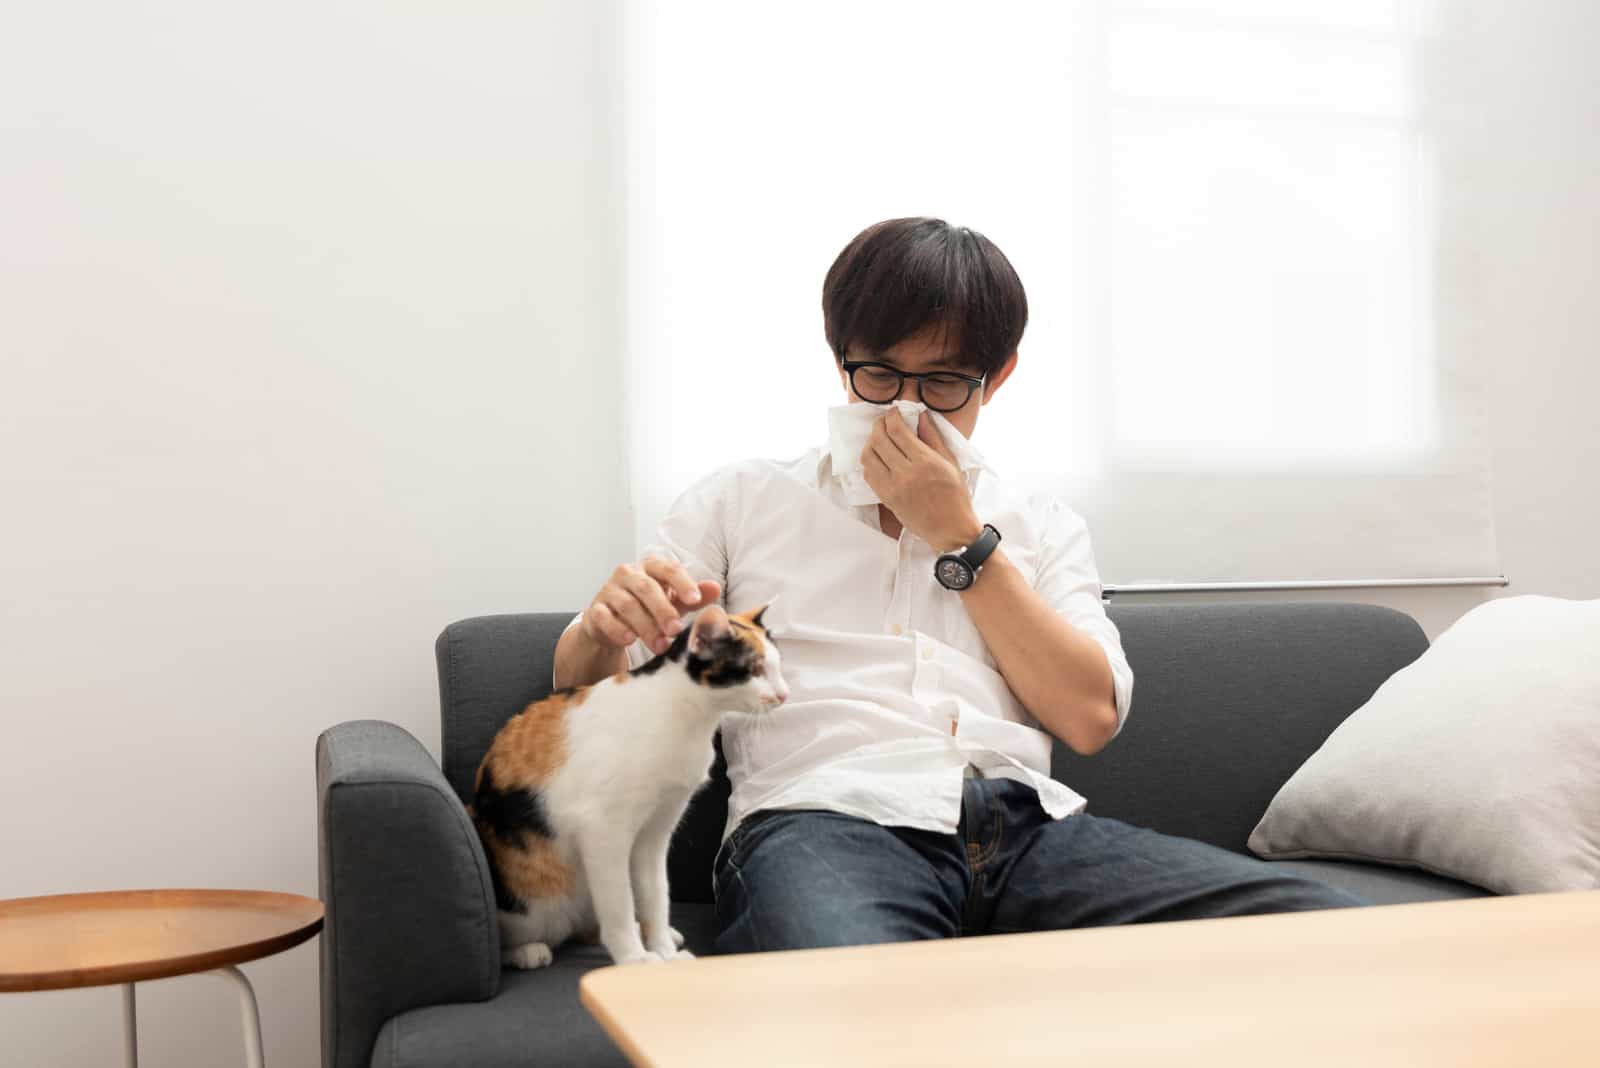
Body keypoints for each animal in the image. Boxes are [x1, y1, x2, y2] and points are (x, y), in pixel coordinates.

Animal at [467, 601, 787, 965]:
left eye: (778, 666)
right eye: (754, 669)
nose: (783, 694)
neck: (684, 713)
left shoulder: (657, 830)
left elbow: (656, 894)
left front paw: (663, 950)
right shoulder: (602, 830)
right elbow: (619, 902)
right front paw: (634, 959)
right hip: (538, 903)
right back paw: (528, 952)